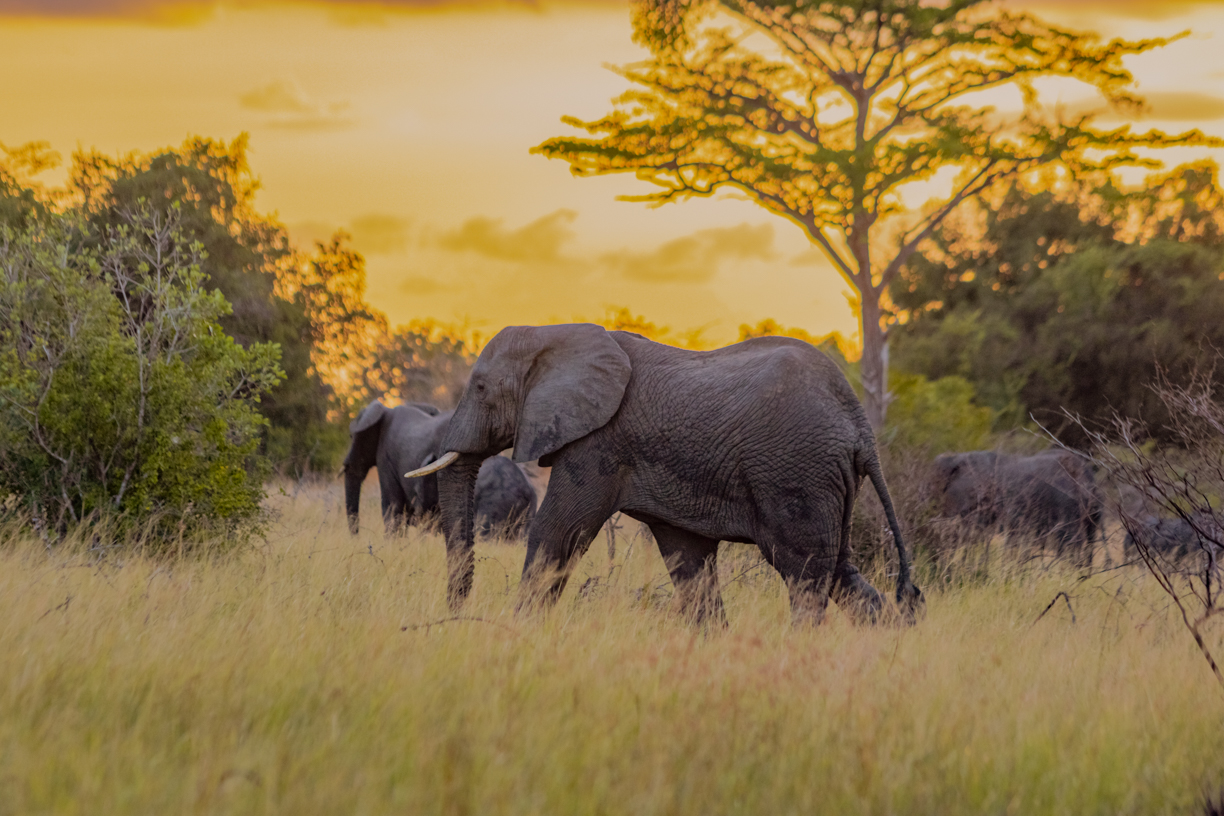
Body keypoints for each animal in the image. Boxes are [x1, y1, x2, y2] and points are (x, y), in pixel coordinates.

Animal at [401, 322, 920, 626]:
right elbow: (687, 559)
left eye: (480, 388)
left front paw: (519, 631)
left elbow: (559, 531)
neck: (554, 333)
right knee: (837, 570)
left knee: (805, 573)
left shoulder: (599, 442)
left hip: (797, 471)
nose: (456, 609)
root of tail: (859, 425)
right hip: (824, 480)